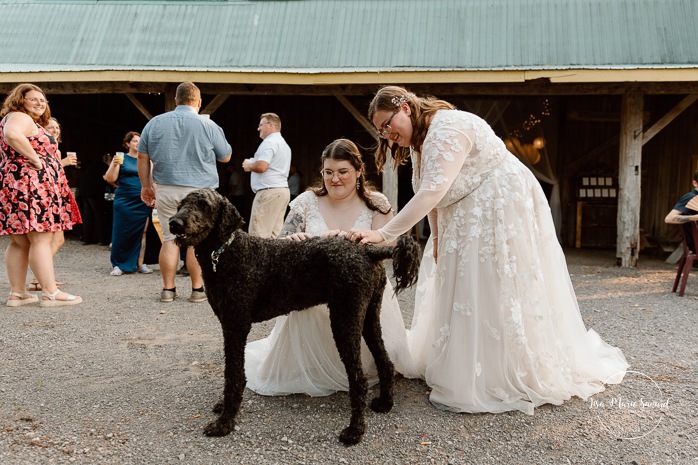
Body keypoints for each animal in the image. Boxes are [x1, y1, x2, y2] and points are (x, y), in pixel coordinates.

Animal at [169, 188, 418, 446]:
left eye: (204, 205)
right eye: (181, 204)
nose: (174, 223)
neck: (226, 253)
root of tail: (366, 250)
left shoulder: (235, 326)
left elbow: (233, 375)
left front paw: (225, 422)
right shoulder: (229, 326)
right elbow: (232, 371)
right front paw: (223, 408)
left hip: (344, 320)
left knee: (358, 380)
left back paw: (354, 431)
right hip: (368, 318)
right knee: (385, 361)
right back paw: (385, 403)